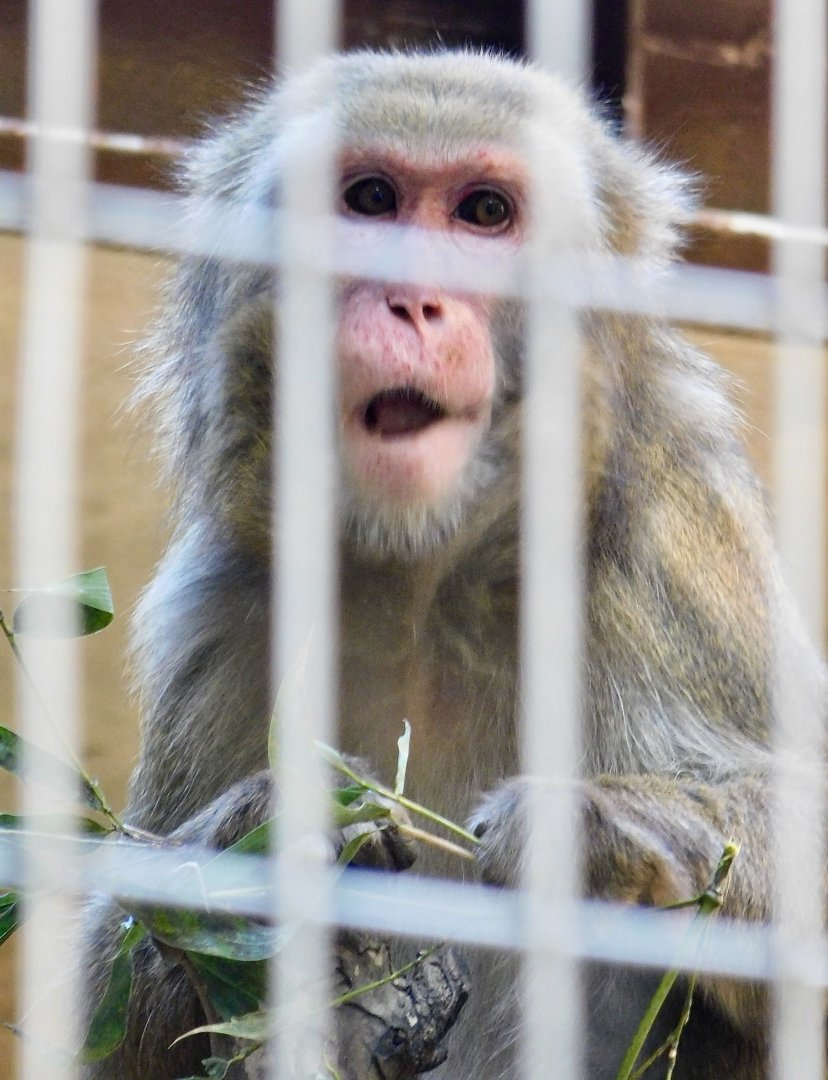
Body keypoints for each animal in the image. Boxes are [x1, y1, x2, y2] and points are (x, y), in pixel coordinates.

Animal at [81, 48, 827, 1080]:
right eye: (370, 199)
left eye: (483, 214)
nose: (412, 295)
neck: (425, 581)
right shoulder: (219, 613)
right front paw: (266, 836)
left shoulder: (673, 555)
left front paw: (593, 837)